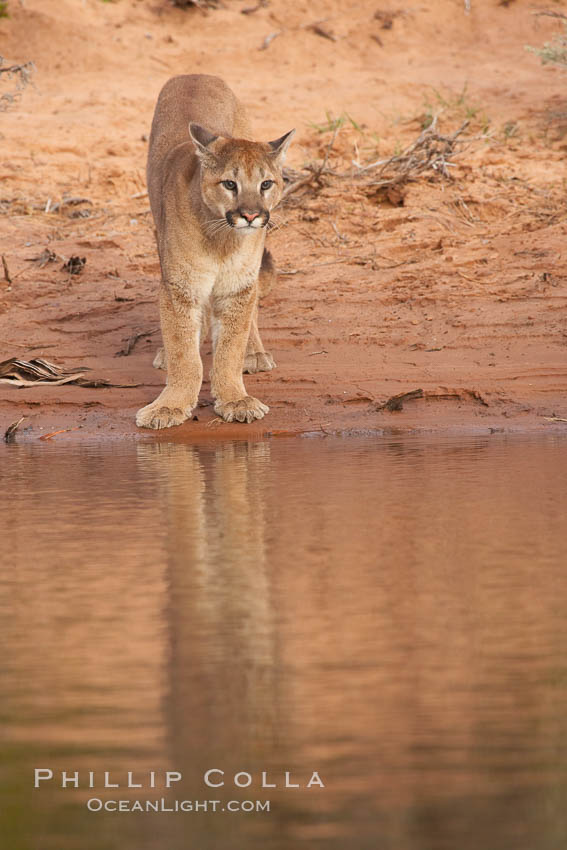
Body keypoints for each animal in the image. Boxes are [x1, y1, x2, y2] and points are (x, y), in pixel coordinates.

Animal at [136, 73, 296, 428]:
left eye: (266, 184)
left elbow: (229, 349)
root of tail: (194, 75)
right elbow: (184, 353)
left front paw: (235, 400)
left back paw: (255, 353)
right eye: (229, 184)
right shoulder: (180, 287)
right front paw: (170, 405)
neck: (222, 239)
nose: (251, 215)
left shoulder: (238, 287)